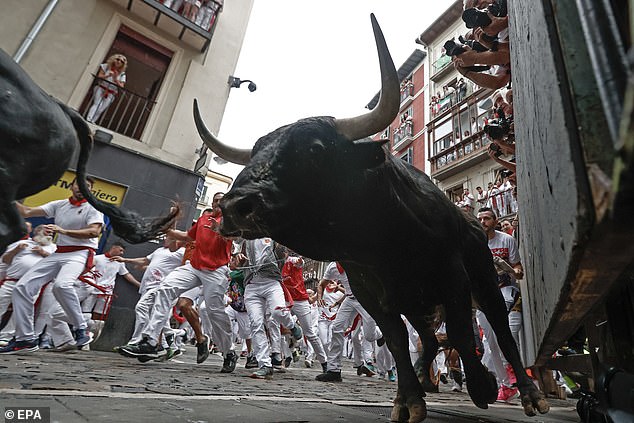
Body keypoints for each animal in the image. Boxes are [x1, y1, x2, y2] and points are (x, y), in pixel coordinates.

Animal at [195, 14, 552, 423]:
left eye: (315, 149)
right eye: (255, 153)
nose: (235, 205)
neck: (384, 243)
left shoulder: (454, 279)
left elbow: (463, 333)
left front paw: (482, 386)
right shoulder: (373, 294)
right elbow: (397, 341)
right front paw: (408, 400)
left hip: (485, 281)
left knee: (497, 330)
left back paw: (527, 394)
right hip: (419, 306)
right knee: (427, 340)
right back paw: (424, 378)